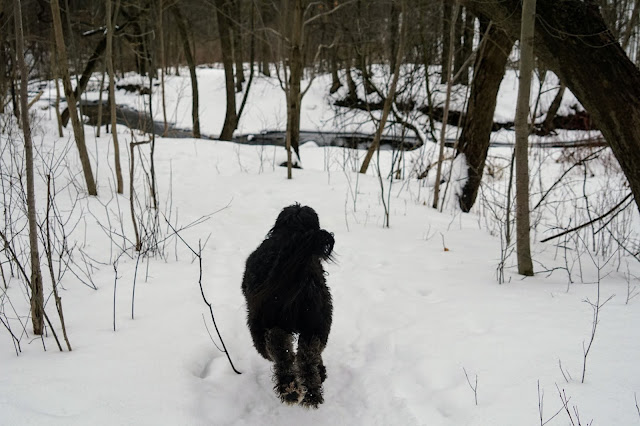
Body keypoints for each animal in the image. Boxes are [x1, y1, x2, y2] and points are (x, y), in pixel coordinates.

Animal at [241, 205, 336, 408]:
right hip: (316, 322)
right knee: (306, 354)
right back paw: (309, 391)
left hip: (262, 323)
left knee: (281, 350)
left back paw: (291, 388)